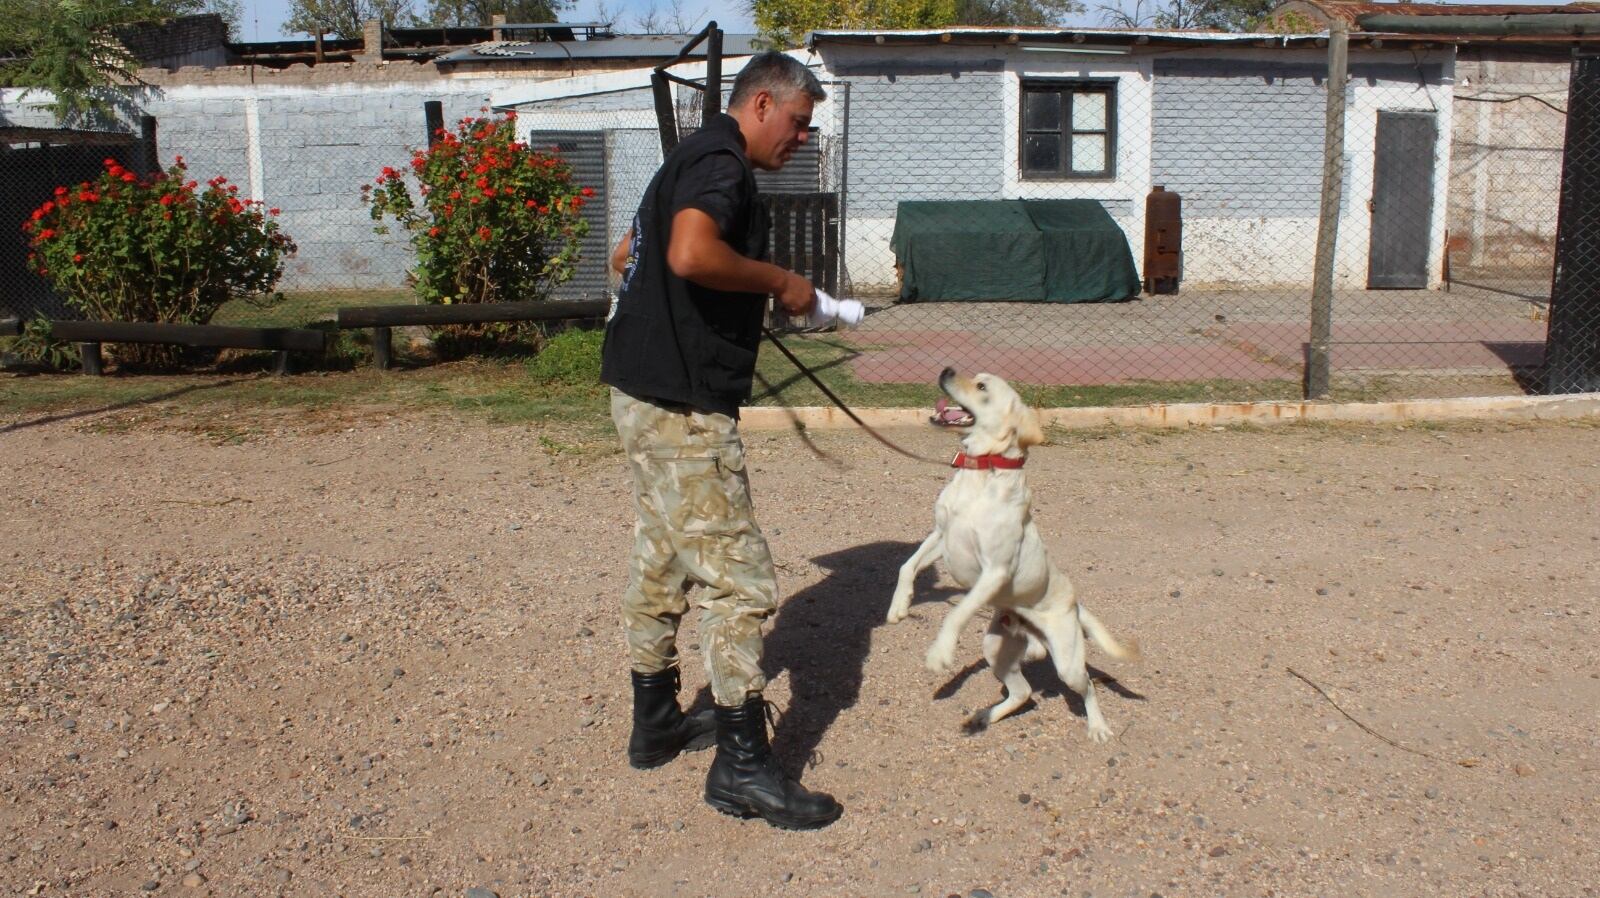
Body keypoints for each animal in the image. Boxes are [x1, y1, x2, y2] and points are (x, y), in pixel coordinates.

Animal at [889, 366, 1139, 742]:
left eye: (982, 386)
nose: (946, 370)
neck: (980, 472)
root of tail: (1075, 604)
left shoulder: (995, 569)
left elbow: (957, 613)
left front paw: (940, 652)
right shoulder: (940, 536)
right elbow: (907, 565)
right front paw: (899, 607)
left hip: (1067, 662)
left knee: (1088, 687)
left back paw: (1097, 727)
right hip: (996, 648)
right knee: (1023, 693)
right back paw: (983, 716)